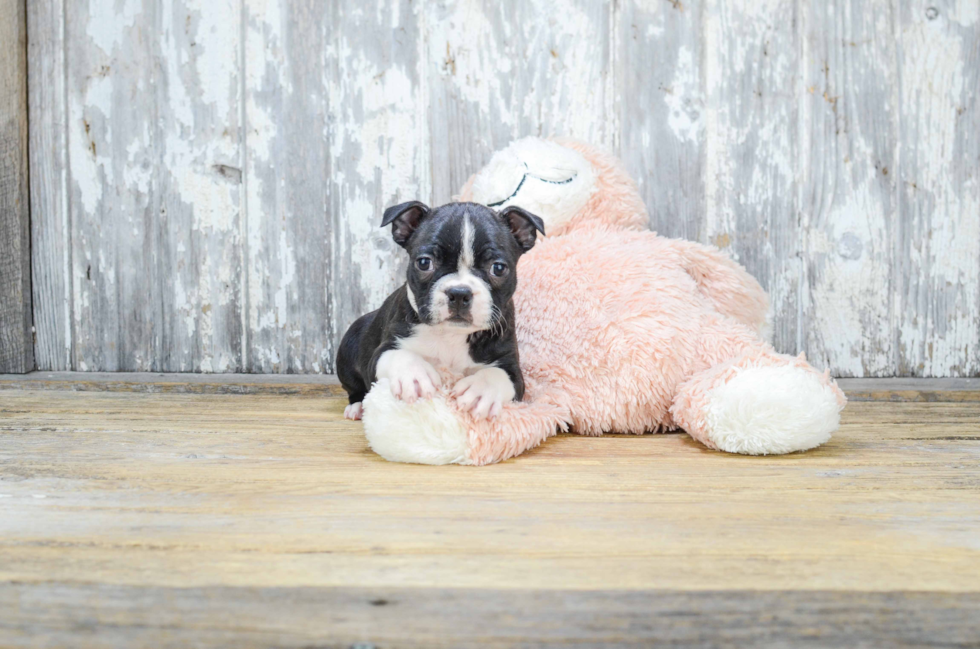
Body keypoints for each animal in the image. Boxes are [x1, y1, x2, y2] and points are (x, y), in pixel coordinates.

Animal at [338, 204, 544, 426]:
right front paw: (414, 375)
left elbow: (497, 374)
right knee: (354, 388)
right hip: (348, 350)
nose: (459, 293)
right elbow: (398, 355)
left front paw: (481, 391)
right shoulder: (380, 353)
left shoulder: (512, 369)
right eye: (424, 263)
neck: (451, 334)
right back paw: (357, 406)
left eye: (498, 268)